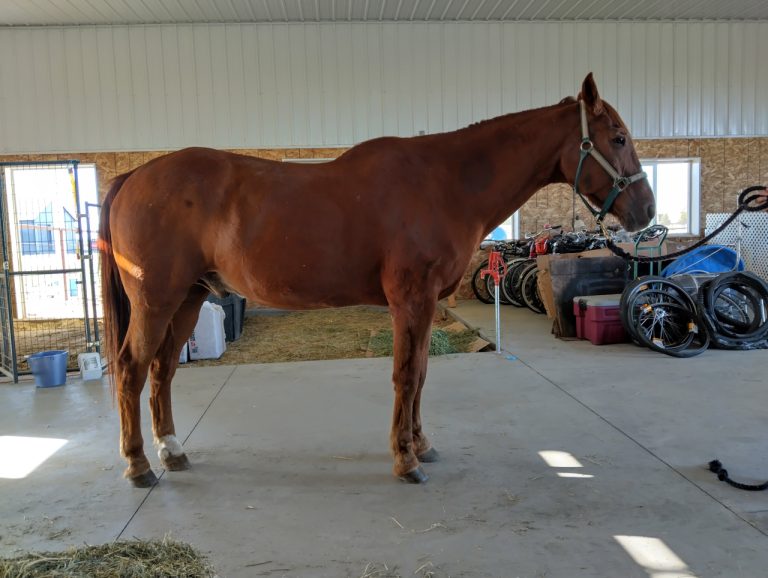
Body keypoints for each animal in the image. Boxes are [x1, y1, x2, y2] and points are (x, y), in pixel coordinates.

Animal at [99, 73, 655, 488]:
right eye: (618, 138)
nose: (646, 211)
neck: (445, 183)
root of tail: (135, 177)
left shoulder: (425, 304)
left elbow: (423, 374)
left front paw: (422, 445)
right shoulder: (411, 299)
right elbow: (405, 375)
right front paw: (405, 460)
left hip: (188, 298)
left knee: (161, 372)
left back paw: (171, 452)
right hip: (157, 300)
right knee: (131, 369)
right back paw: (139, 465)